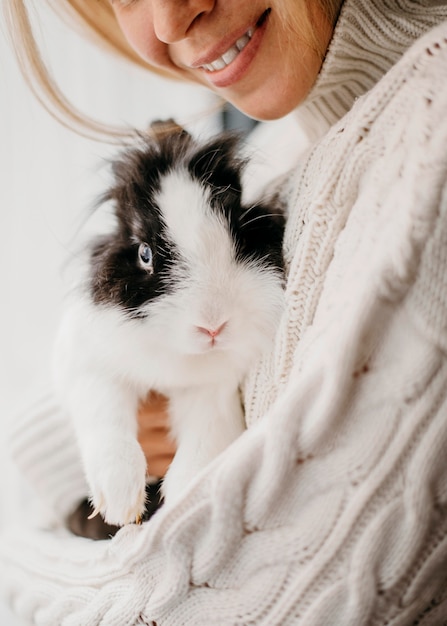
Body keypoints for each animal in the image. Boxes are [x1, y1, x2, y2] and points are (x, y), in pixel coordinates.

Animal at [51, 123, 284, 528]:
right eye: (145, 253)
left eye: (239, 234)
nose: (212, 326)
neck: (178, 356)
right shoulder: (90, 369)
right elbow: (106, 419)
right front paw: (119, 501)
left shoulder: (213, 392)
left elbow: (203, 443)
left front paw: (181, 504)